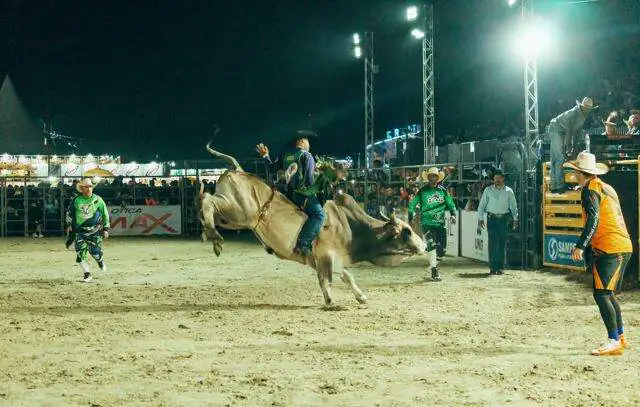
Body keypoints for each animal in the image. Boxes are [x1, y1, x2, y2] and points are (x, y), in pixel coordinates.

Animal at [199, 143, 424, 306]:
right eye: (407, 231)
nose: (424, 245)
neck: (349, 227)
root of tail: (237, 171)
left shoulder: (332, 260)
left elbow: (347, 277)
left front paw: (361, 296)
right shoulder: (325, 256)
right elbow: (326, 280)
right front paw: (330, 301)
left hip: (230, 218)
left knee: (206, 206)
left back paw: (209, 234)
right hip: (237, 210)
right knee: (208, 201)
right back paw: (214, 236)